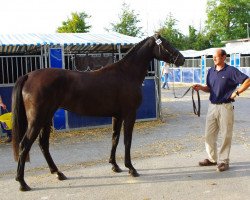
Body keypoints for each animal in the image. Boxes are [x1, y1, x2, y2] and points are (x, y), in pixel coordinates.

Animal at [11, 34, 185, 191]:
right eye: (167, 44)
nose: (182, 59)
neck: (126, 73)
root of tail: (29, 75)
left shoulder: (117, 116)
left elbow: (115, 139)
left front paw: (115, 166)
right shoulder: (129, 115)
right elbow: (127, 140)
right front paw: (131, 168)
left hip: (46, 118)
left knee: (43, 144)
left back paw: (58, 173)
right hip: (37, 119)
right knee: (25, 145)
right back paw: (22, 183)